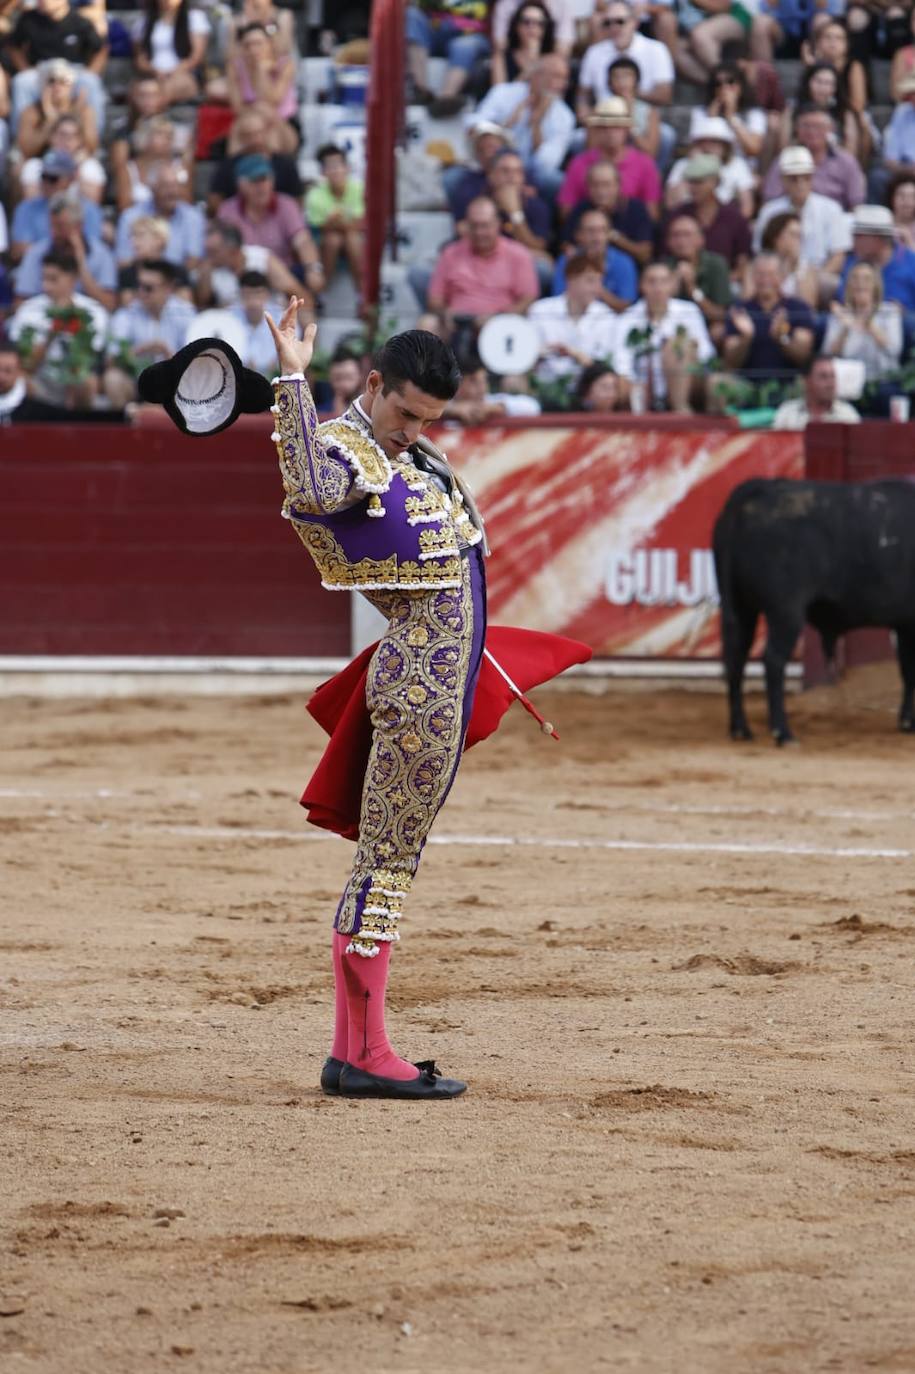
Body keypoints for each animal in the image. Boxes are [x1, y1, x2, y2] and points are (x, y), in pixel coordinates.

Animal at [714, 480, 912, 747]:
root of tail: (760, 487)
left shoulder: (905, 624)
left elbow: (907, 670)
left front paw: (907, 722)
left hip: (740, 608)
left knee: (736, 659)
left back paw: (741, 729)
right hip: (786, 612)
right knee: (773, 661)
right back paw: (782, 732)